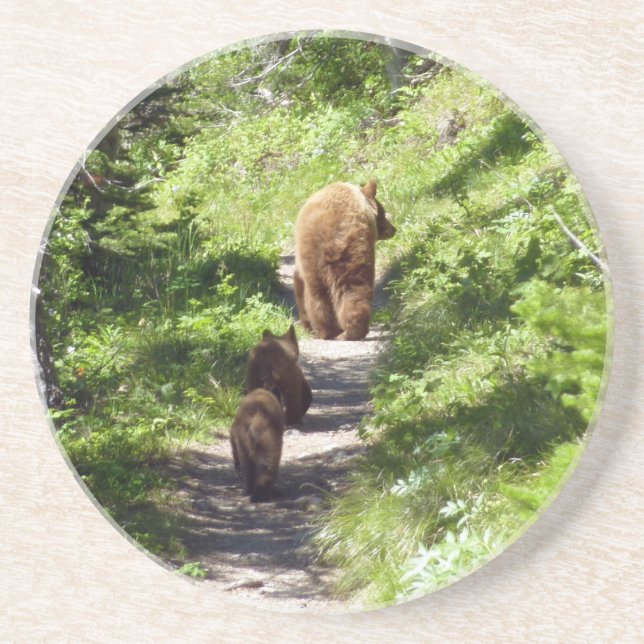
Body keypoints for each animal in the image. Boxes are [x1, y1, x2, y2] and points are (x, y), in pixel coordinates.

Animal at [293, 179, 396, 341]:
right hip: (349, 254)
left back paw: (330, 331)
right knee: (351, 290)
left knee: (321, 294)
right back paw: (347, 331)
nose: (393, 229)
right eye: (384, 212)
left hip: (323, 257)